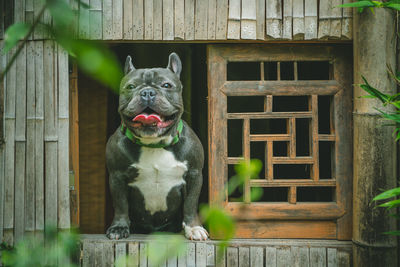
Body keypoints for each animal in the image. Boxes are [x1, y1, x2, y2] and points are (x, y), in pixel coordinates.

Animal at [104, 52, 208, 241]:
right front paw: (118, 228)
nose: (147, 92)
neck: (154, 144)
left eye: (166, 85)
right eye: (131, 86)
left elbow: (191, 203)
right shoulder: (117, 177)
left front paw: (194, 228)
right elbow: (120, 205)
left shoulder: (194, 175)